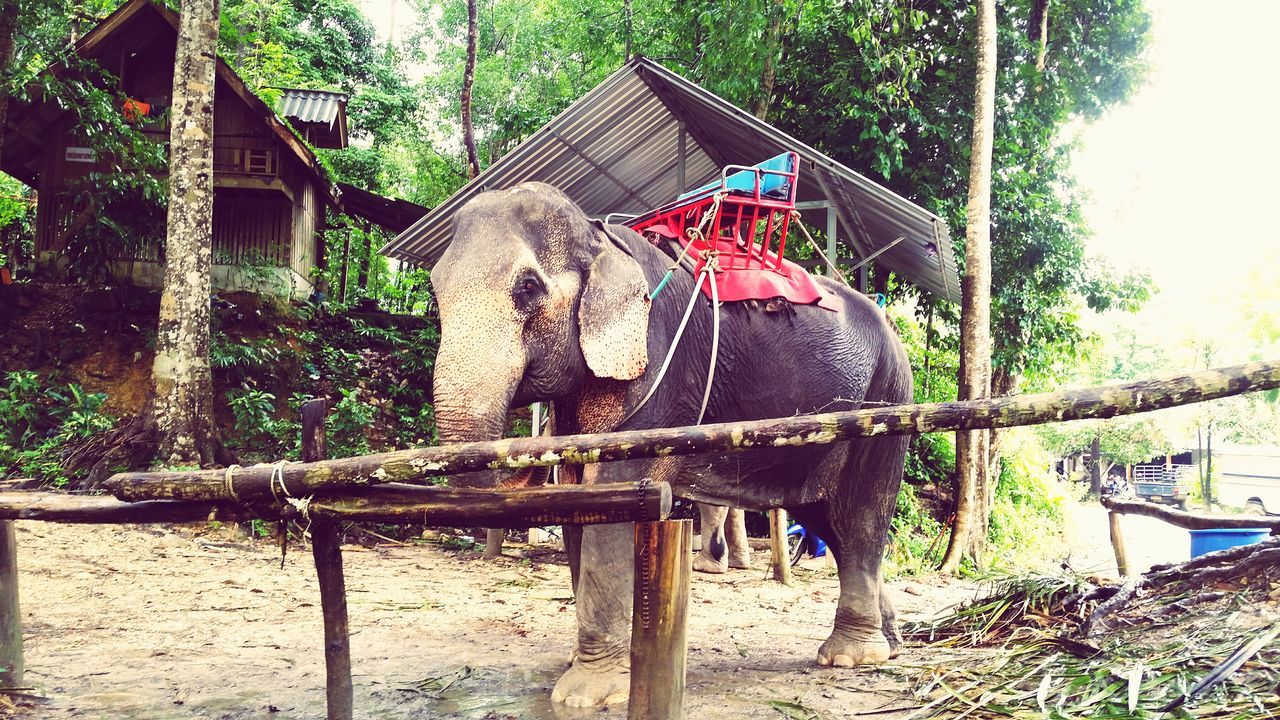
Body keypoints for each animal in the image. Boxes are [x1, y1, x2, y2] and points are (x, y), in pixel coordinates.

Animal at [435, 180, 916, 707]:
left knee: (860, 517)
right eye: (435, 289)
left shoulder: (657, 368)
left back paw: (851, 657)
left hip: (885, 403)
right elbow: (579, 499)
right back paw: (891, 645)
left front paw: (583, 695)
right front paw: (590, 667)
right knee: (828, 519)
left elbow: (611, 499)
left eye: (527, 288)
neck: (599, 237)